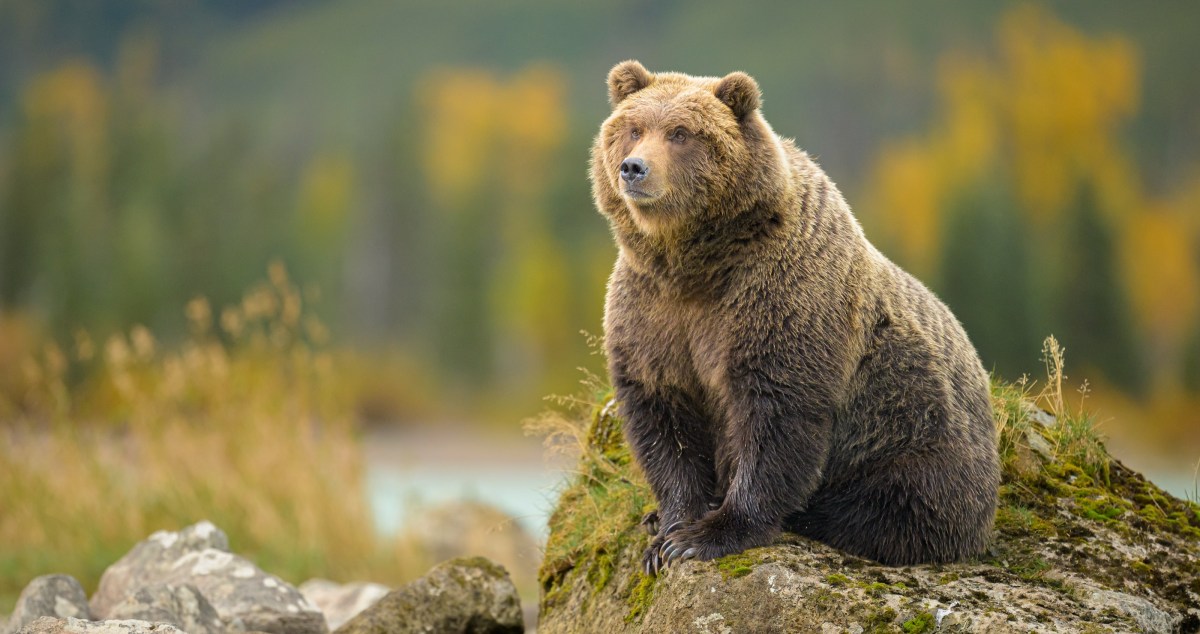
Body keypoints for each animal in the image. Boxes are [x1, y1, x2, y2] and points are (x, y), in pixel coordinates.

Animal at [592, 60, 1000, 575]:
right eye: (633, 128)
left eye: (681, 133)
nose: (634, 167)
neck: (697, 262)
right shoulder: (652, 312)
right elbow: (664, 416)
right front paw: (666, 531)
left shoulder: (779, 297)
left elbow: (776, 414)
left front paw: (708, 534)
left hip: (914, 442)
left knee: (888, 508)